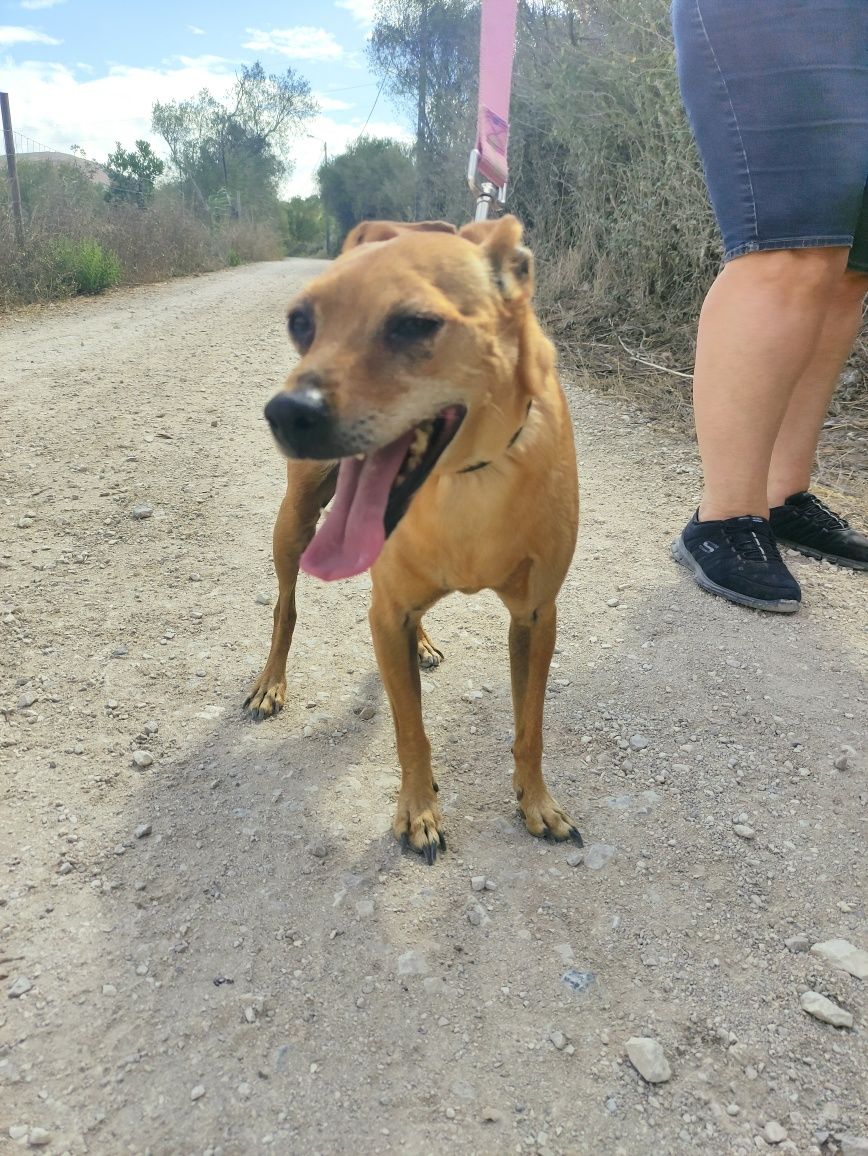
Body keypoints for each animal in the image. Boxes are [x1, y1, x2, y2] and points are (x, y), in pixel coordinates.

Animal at [247, 217, 580, 864]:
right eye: (301, 322)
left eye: (415, 324)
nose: (287, 412)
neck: (466, 482)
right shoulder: (387, 611)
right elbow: (410, 730)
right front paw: (419, 811)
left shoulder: (535, 616)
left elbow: (529, 727)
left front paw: (537, 802)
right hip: (295, 524)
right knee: (284, 607)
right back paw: (271, 682)